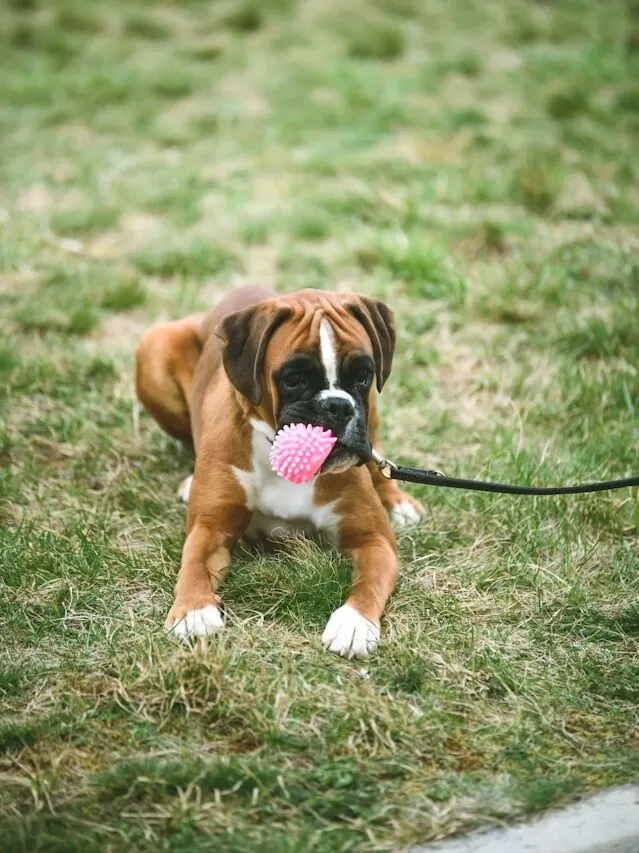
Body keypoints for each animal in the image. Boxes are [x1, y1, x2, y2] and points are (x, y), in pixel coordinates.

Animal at [136, 286, 424, 660]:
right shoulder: (211, 527)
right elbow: (193, 563)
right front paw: (193, 610)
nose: (338, 406)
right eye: (293, 378)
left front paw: (354, 622)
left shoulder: (374, 540)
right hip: (153, 346)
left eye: (363, 375)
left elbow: (370, 581)